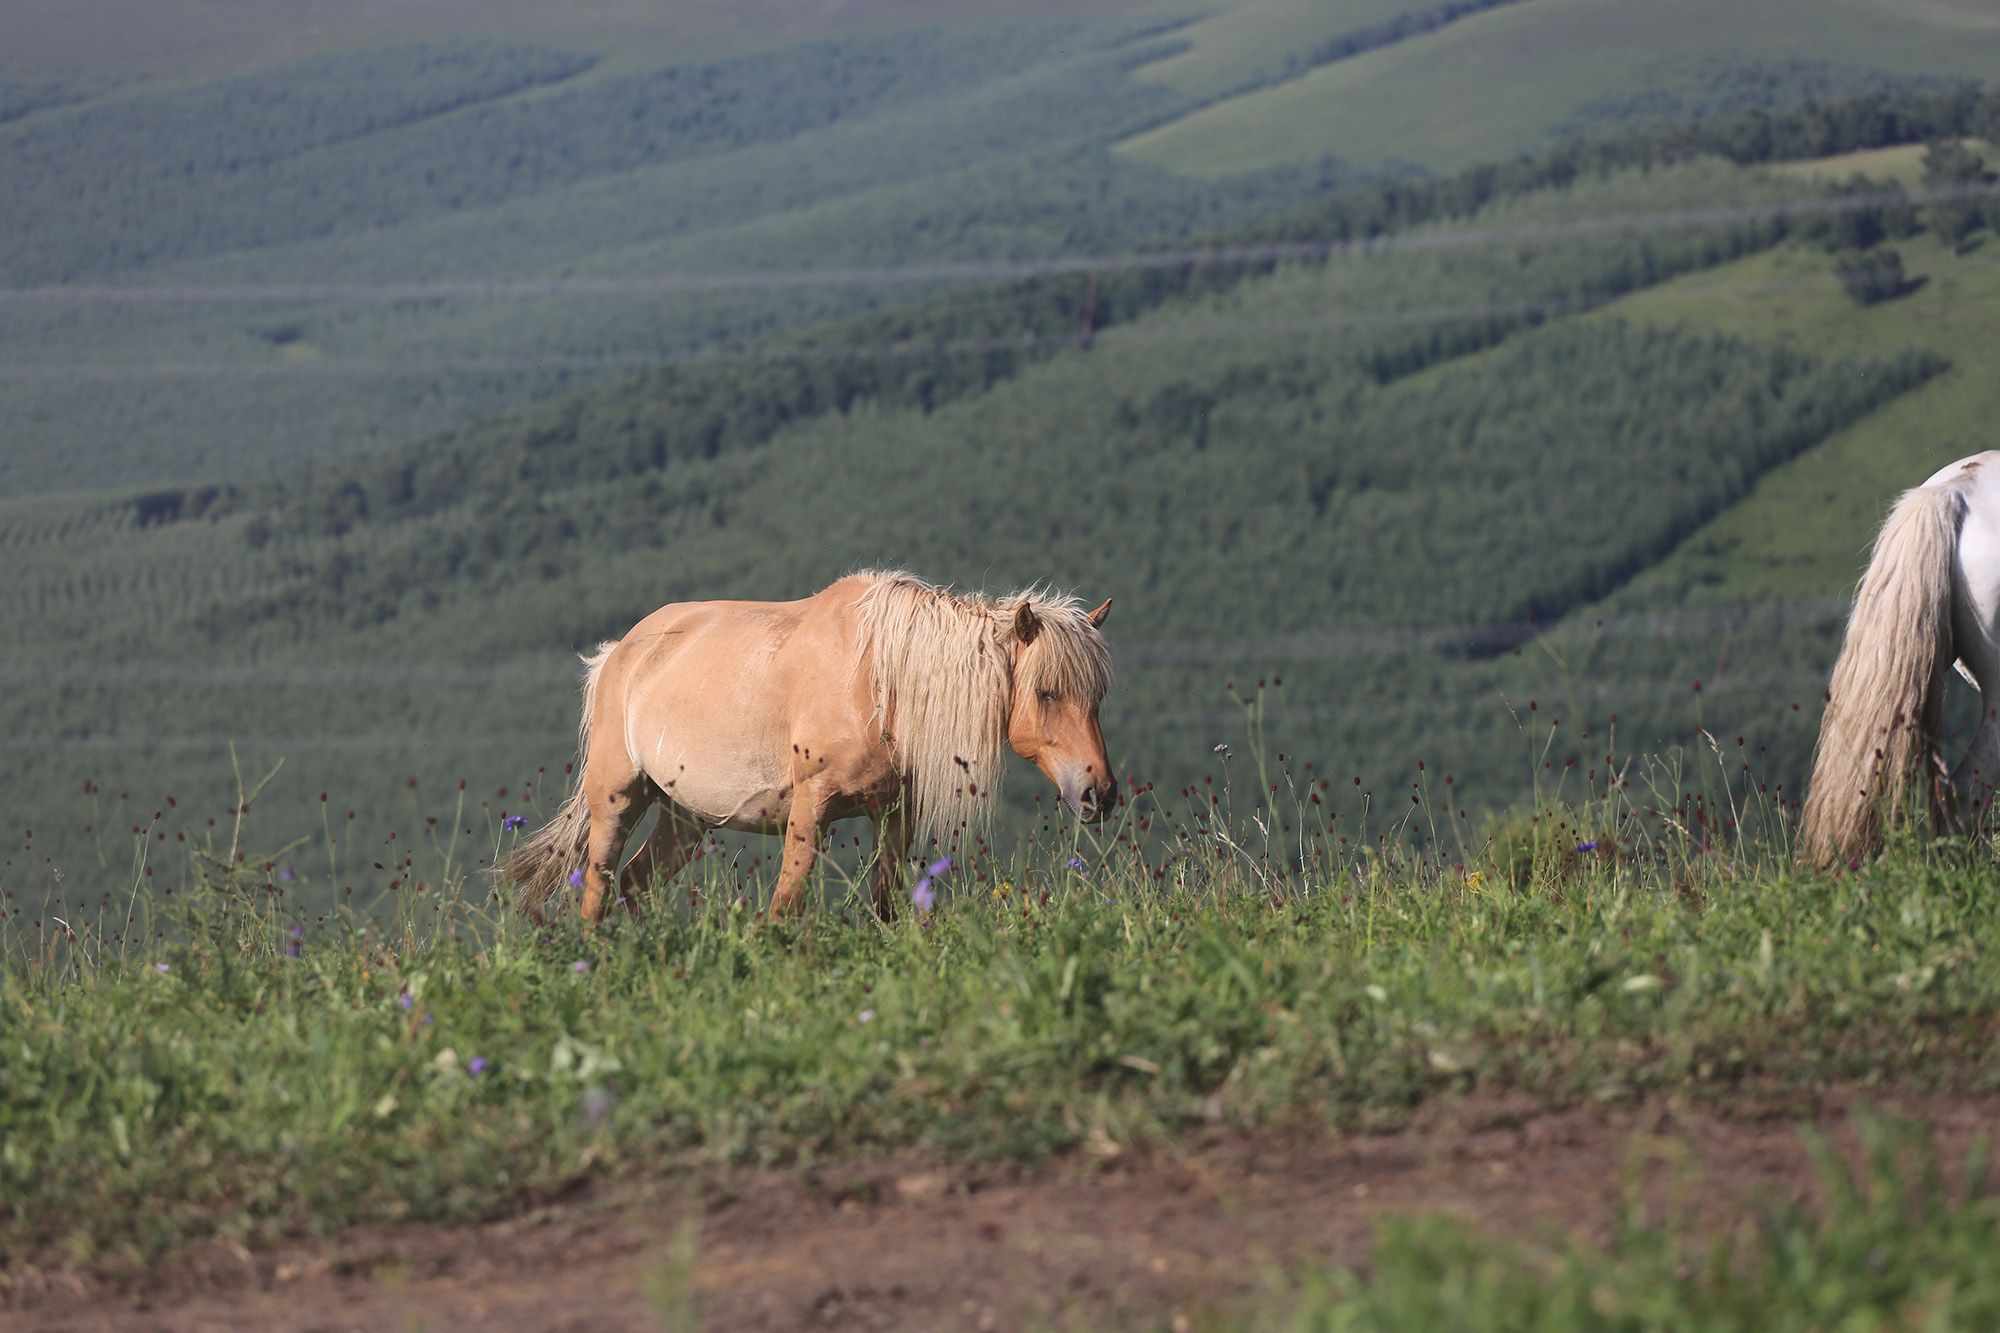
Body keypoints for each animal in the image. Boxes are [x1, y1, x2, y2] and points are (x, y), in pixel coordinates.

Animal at [500, 564, 1120, 920]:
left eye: (1099, 696)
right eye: (1045, 692)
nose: (1100, 794)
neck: (877, 683)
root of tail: (617, 655)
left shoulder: (895, 814)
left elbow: (885, 906)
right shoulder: (810, 808)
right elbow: (784, 908)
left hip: (684, 817)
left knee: (633, 886)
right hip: (618, 798)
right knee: (597, 892)